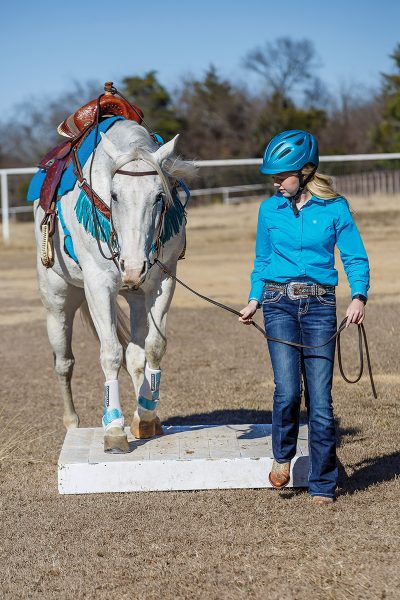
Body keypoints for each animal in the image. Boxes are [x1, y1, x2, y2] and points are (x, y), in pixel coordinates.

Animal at [34, 119, 195, 452]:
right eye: (115, 195)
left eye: (159, 196)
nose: (133, 267)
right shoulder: (98, 286)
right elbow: (110, 353)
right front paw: (114, 429)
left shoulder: (163, 281)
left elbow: (153, 347)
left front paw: (145, 415)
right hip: (57, 301)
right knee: (64, 362)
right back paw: (72, 423)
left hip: (135, 296)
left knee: (135, 356)